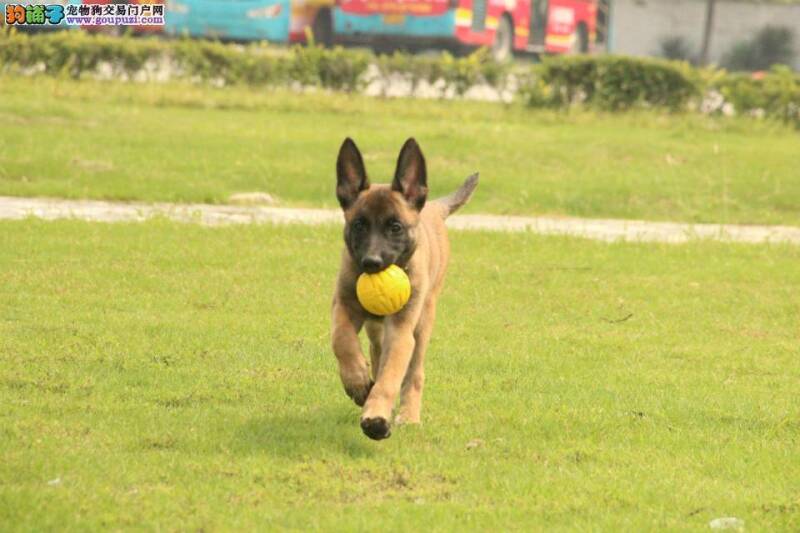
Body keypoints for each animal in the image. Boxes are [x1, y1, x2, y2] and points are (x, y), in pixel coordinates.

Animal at [330, 137, 478, 440]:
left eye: (395, 227)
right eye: (359, 225)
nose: (371, 263)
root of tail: (432, 206)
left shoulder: (400, 330)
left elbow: (391, 376)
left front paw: (376, 417)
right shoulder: (342, 307)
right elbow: (342, 340)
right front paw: (357, 381)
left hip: (422, 322)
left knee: (413, 373)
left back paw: (408, 415)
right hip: (376, 329)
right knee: (376, 353)